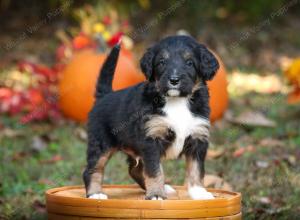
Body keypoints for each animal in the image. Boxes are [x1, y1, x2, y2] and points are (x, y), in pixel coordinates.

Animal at [83, 35, 219, 200]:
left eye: (189, 63)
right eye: (161, 62)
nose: (174, 80)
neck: (177, 101)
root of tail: (105, 95)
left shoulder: (198, 137)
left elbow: (196, 169)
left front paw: (199, 193)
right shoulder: (151, 139)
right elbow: (155, 171)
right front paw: (156, 195)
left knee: (135, 170)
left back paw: (164, 188)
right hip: (101, 144)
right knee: (92, 169)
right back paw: (95, 193)